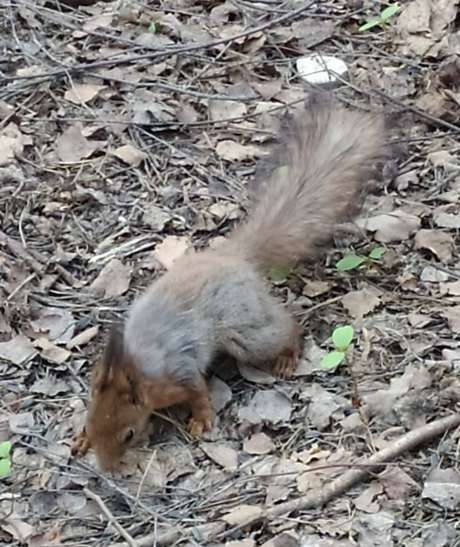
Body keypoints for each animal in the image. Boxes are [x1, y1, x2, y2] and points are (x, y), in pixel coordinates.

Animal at [71, 95, 385, 472]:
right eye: (90, 422)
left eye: (129, 434)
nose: (106, 469)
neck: (137, 368)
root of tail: (233, 257)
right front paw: (80, 440)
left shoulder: (180, 374)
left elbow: (199, 392)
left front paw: (201, 419)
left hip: (245, 329)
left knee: (286, 326)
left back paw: (287, 354)